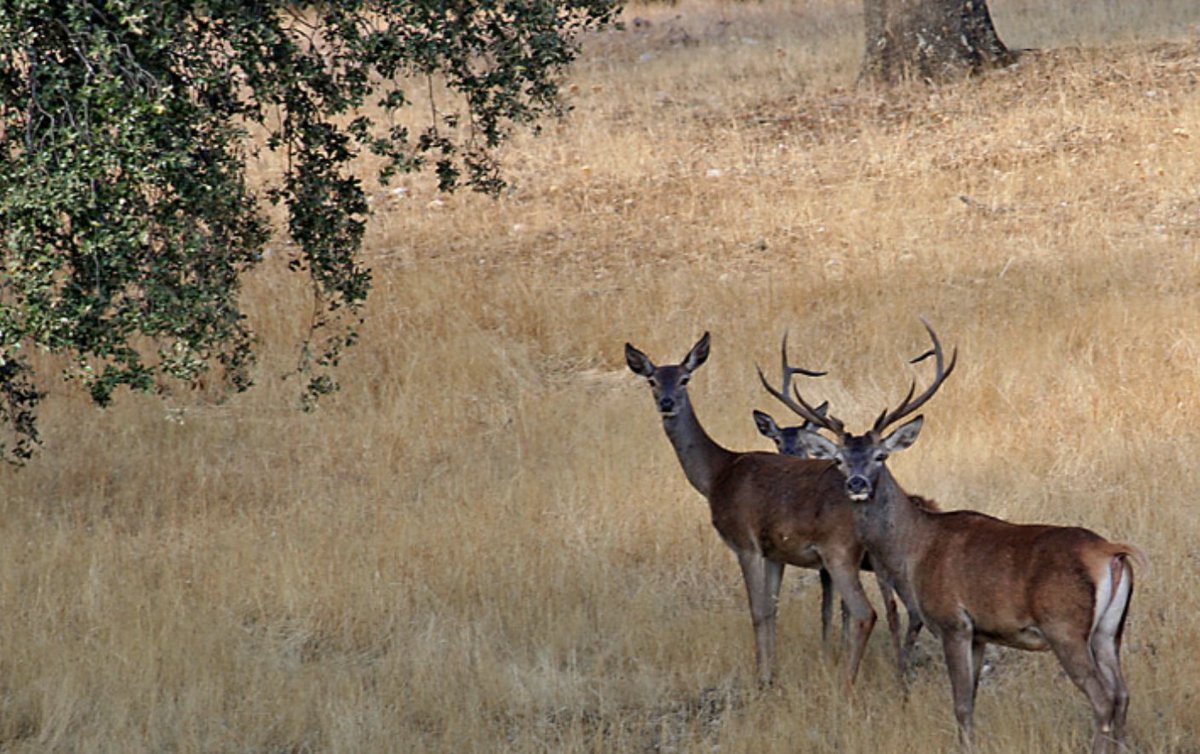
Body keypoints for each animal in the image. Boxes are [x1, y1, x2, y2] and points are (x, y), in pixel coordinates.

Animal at [625, 332, 877, 689]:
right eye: (652, 380)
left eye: (686, 378)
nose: (667, 402)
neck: (717, 474)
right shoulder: (773, 551)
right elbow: (771, 610)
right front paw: (773, 672)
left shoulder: (745, 541)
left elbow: (756, 611)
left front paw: (763, 678)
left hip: (840, 552)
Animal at [781, 318, 1148, 754]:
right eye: (838, 459)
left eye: (880, 456)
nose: (856, 483)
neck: (914, 549)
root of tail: (1111, 552)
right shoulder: (981, 633)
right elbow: (971, 700)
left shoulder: (953, 621)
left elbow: (960, 704)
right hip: (1110, 630)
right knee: (1123, 694)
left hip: (1066, 626)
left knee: (1103, 698)